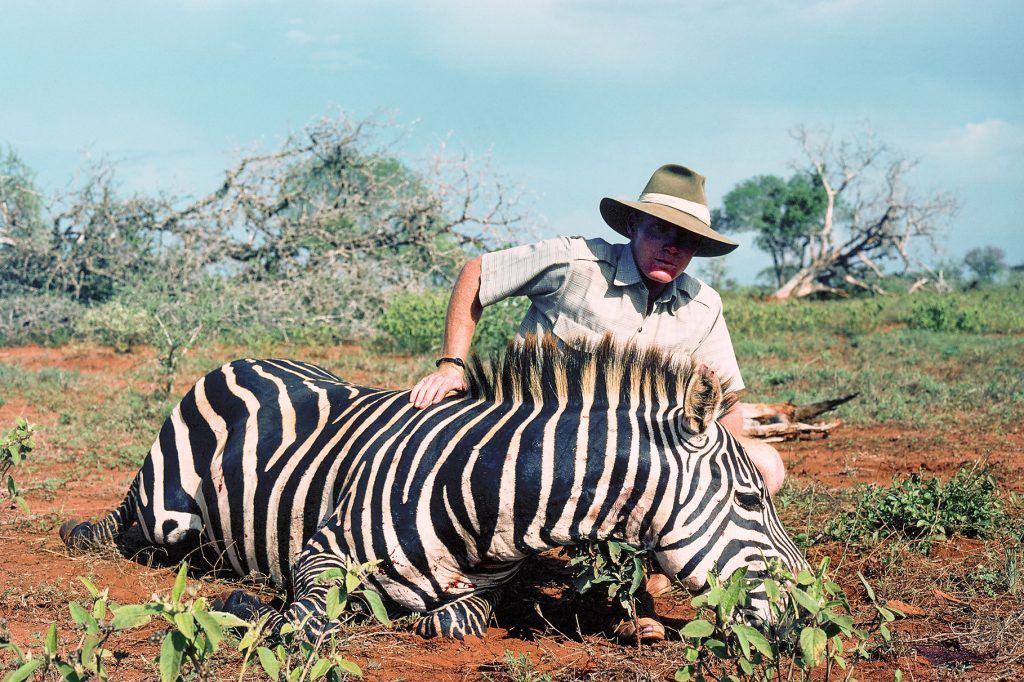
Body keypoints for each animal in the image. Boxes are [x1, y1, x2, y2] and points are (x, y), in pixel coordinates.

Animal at [59, 333, 802, 638]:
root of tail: (243, 358)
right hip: (164, 510)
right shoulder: (321, 549)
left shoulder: (487, 590)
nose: (812, 611)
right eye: (751, 501)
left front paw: (399, 616)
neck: (482, 498)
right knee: (131, 530)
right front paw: (260, 610)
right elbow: (307, 620)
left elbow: (451, 620)